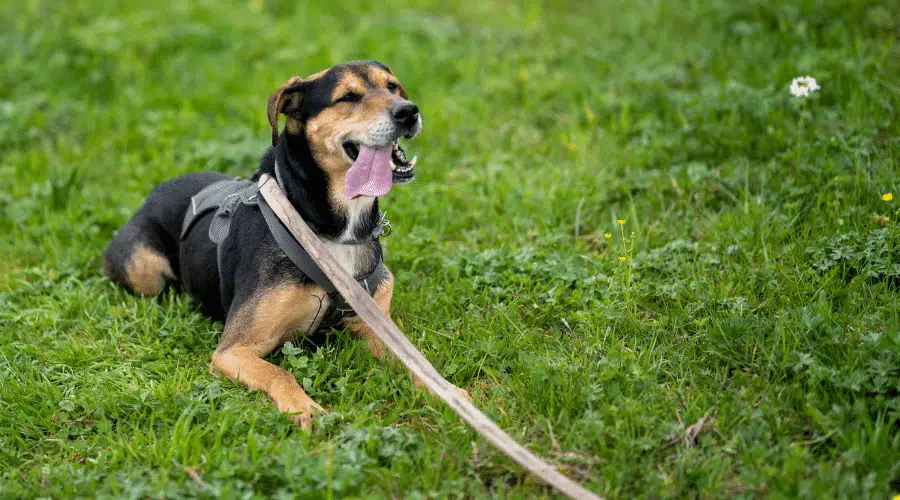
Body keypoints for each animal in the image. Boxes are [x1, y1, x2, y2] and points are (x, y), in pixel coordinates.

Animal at [106, 60, 468, 428]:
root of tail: (155, 191)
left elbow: (418, 364)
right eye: (348, 97)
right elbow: (280, 373)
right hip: (145, 271)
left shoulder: (376, 330)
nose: (408, 111)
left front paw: (447, 392)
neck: (331, 230)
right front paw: (303, 407)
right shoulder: (232, 351)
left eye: (392, 87)